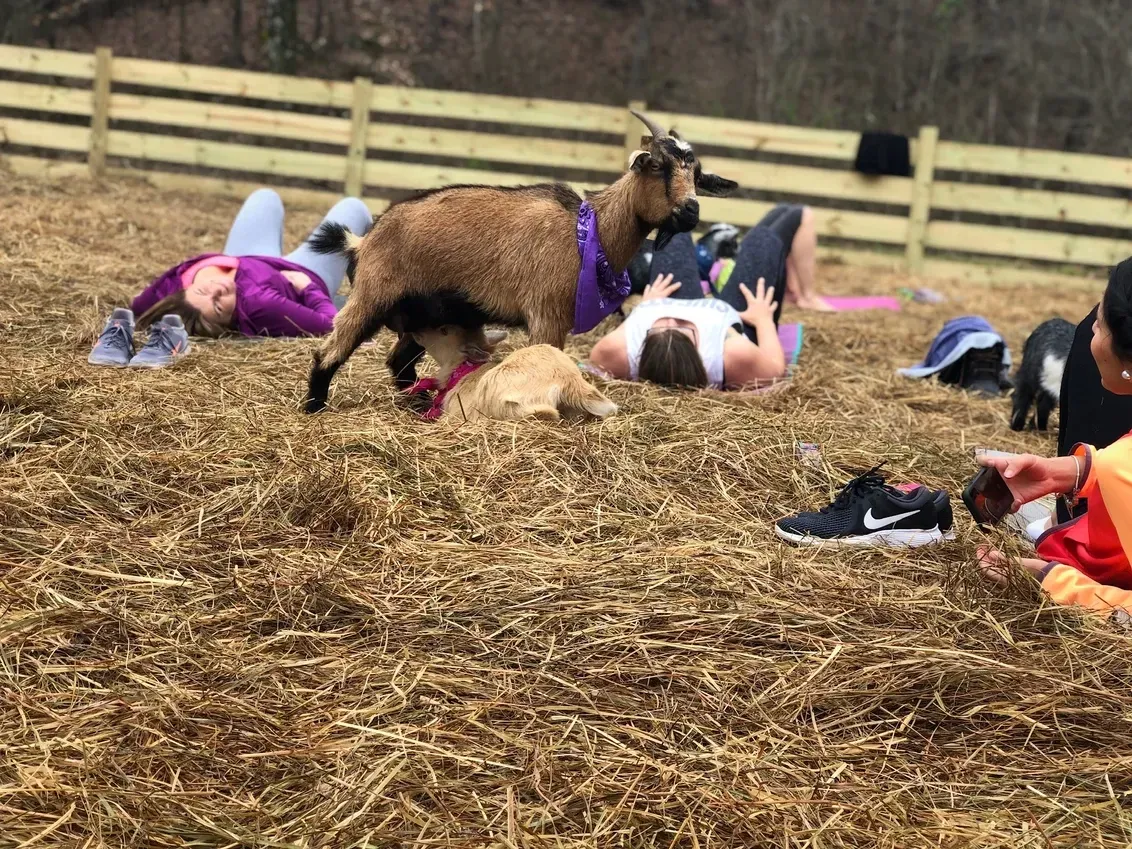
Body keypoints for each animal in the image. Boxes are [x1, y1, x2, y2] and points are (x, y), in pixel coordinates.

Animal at [302, 111, 737, 412]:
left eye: (697, 175)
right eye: (657, 166)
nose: (690, 212)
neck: (589, 229)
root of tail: (365, 240)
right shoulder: (547, 315)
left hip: (421, 315)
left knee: (398, 362)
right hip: (371, 297)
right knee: (329, 354)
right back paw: (315, 408)